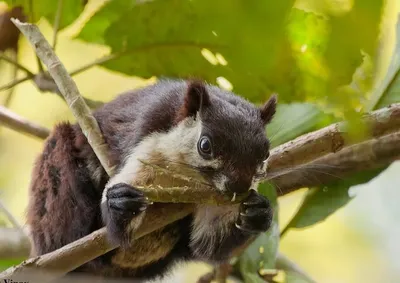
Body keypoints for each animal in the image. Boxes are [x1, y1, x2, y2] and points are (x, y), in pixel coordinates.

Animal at [25, 79, 276, 282]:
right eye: (205, 145)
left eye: (265, 153)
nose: (238, 188)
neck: (187, 180)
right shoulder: (147, 145)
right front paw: (119, 204)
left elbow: (208, 245)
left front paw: (258, 213)